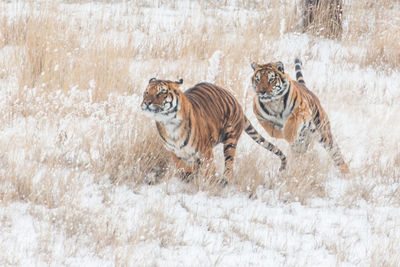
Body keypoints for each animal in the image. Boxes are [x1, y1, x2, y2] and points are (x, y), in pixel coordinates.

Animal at [141, 78, 288, 184]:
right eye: (147, 92)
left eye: (161, 92)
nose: (147, 102)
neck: (169, 123)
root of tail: (236, 102)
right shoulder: (174, 151)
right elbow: (182, 168)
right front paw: (188, 177)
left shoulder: (205, 151)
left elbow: (209, 170)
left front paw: (208, 183)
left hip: (230, 140)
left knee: (229, 163)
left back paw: (226, 180)